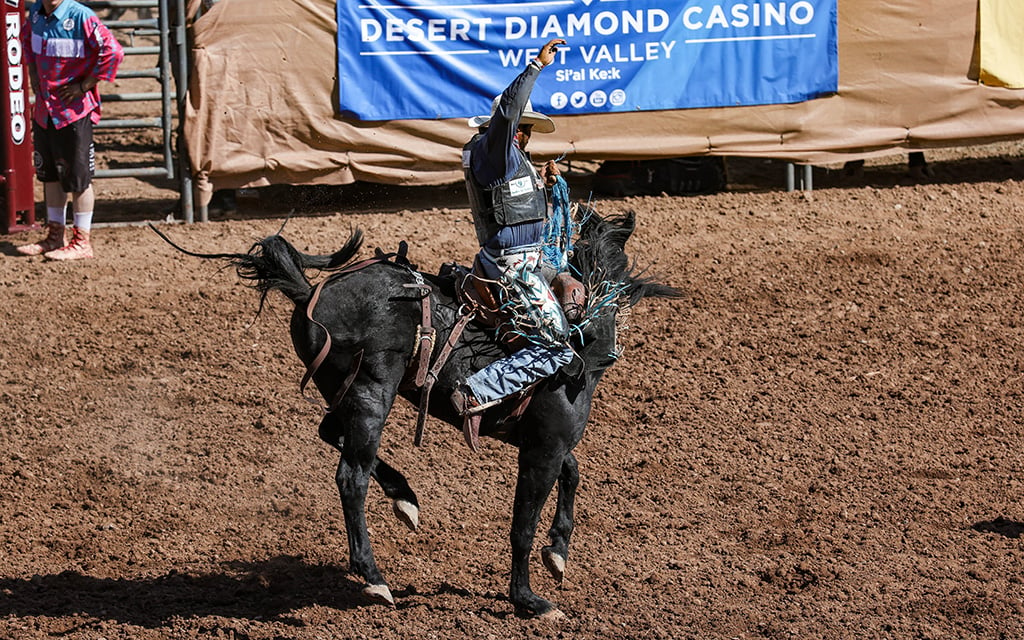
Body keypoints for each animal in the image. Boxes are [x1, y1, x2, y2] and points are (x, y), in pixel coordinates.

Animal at [151, 206, 679, 618]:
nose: (608, 350)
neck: (573, 345)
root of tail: (309, 293)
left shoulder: (538, 441)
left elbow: (573, 474)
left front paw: (559, 553)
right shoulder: (542, 448)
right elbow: (523, 523)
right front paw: (529, 600)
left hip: (343, 394)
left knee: (331, 434)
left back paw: (405, 498)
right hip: (371, 396)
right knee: (351, 476)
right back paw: (374, 576)